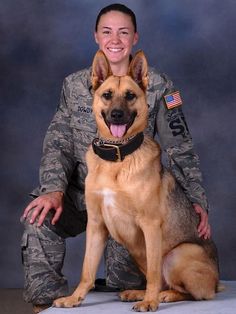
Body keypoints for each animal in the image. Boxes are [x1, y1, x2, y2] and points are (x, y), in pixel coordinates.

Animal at [53, 50, 219, 310]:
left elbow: (153, 273)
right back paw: (137, 292)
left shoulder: (150, 225)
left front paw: (150, 302)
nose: (117, 115)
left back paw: (163, 295)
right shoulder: (96, 225)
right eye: (107, 95)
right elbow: (87, 270)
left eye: (130, 96)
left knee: (190, 291)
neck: (118, 158)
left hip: (177, 255)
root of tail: (218, 280)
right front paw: (75, 298)